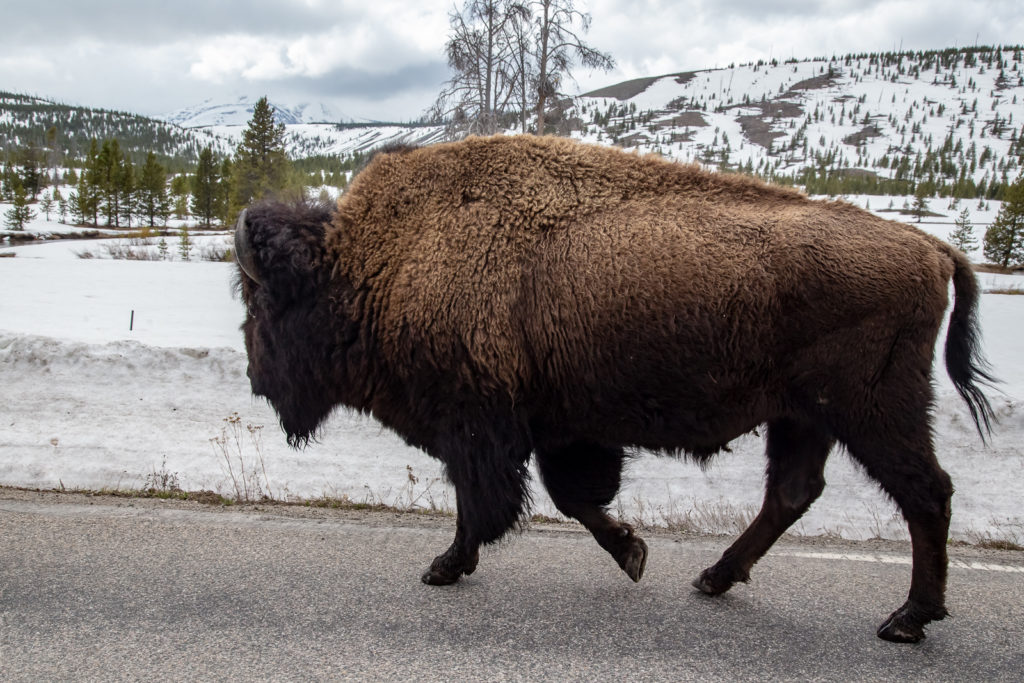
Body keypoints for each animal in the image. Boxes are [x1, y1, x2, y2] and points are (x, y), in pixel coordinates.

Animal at [232, 133, 991, 643]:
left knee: (926, 493)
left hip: (873, 411)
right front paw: (633, 553)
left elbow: (486, 504)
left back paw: (906, 620)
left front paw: (443, 566)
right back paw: (713, 578)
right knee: (793, 493)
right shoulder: (560, 428)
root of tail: (931, 248)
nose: (253, 375)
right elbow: (574, 499)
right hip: (803, 417)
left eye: (262, 302)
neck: (379, 260)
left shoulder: (479, 426)